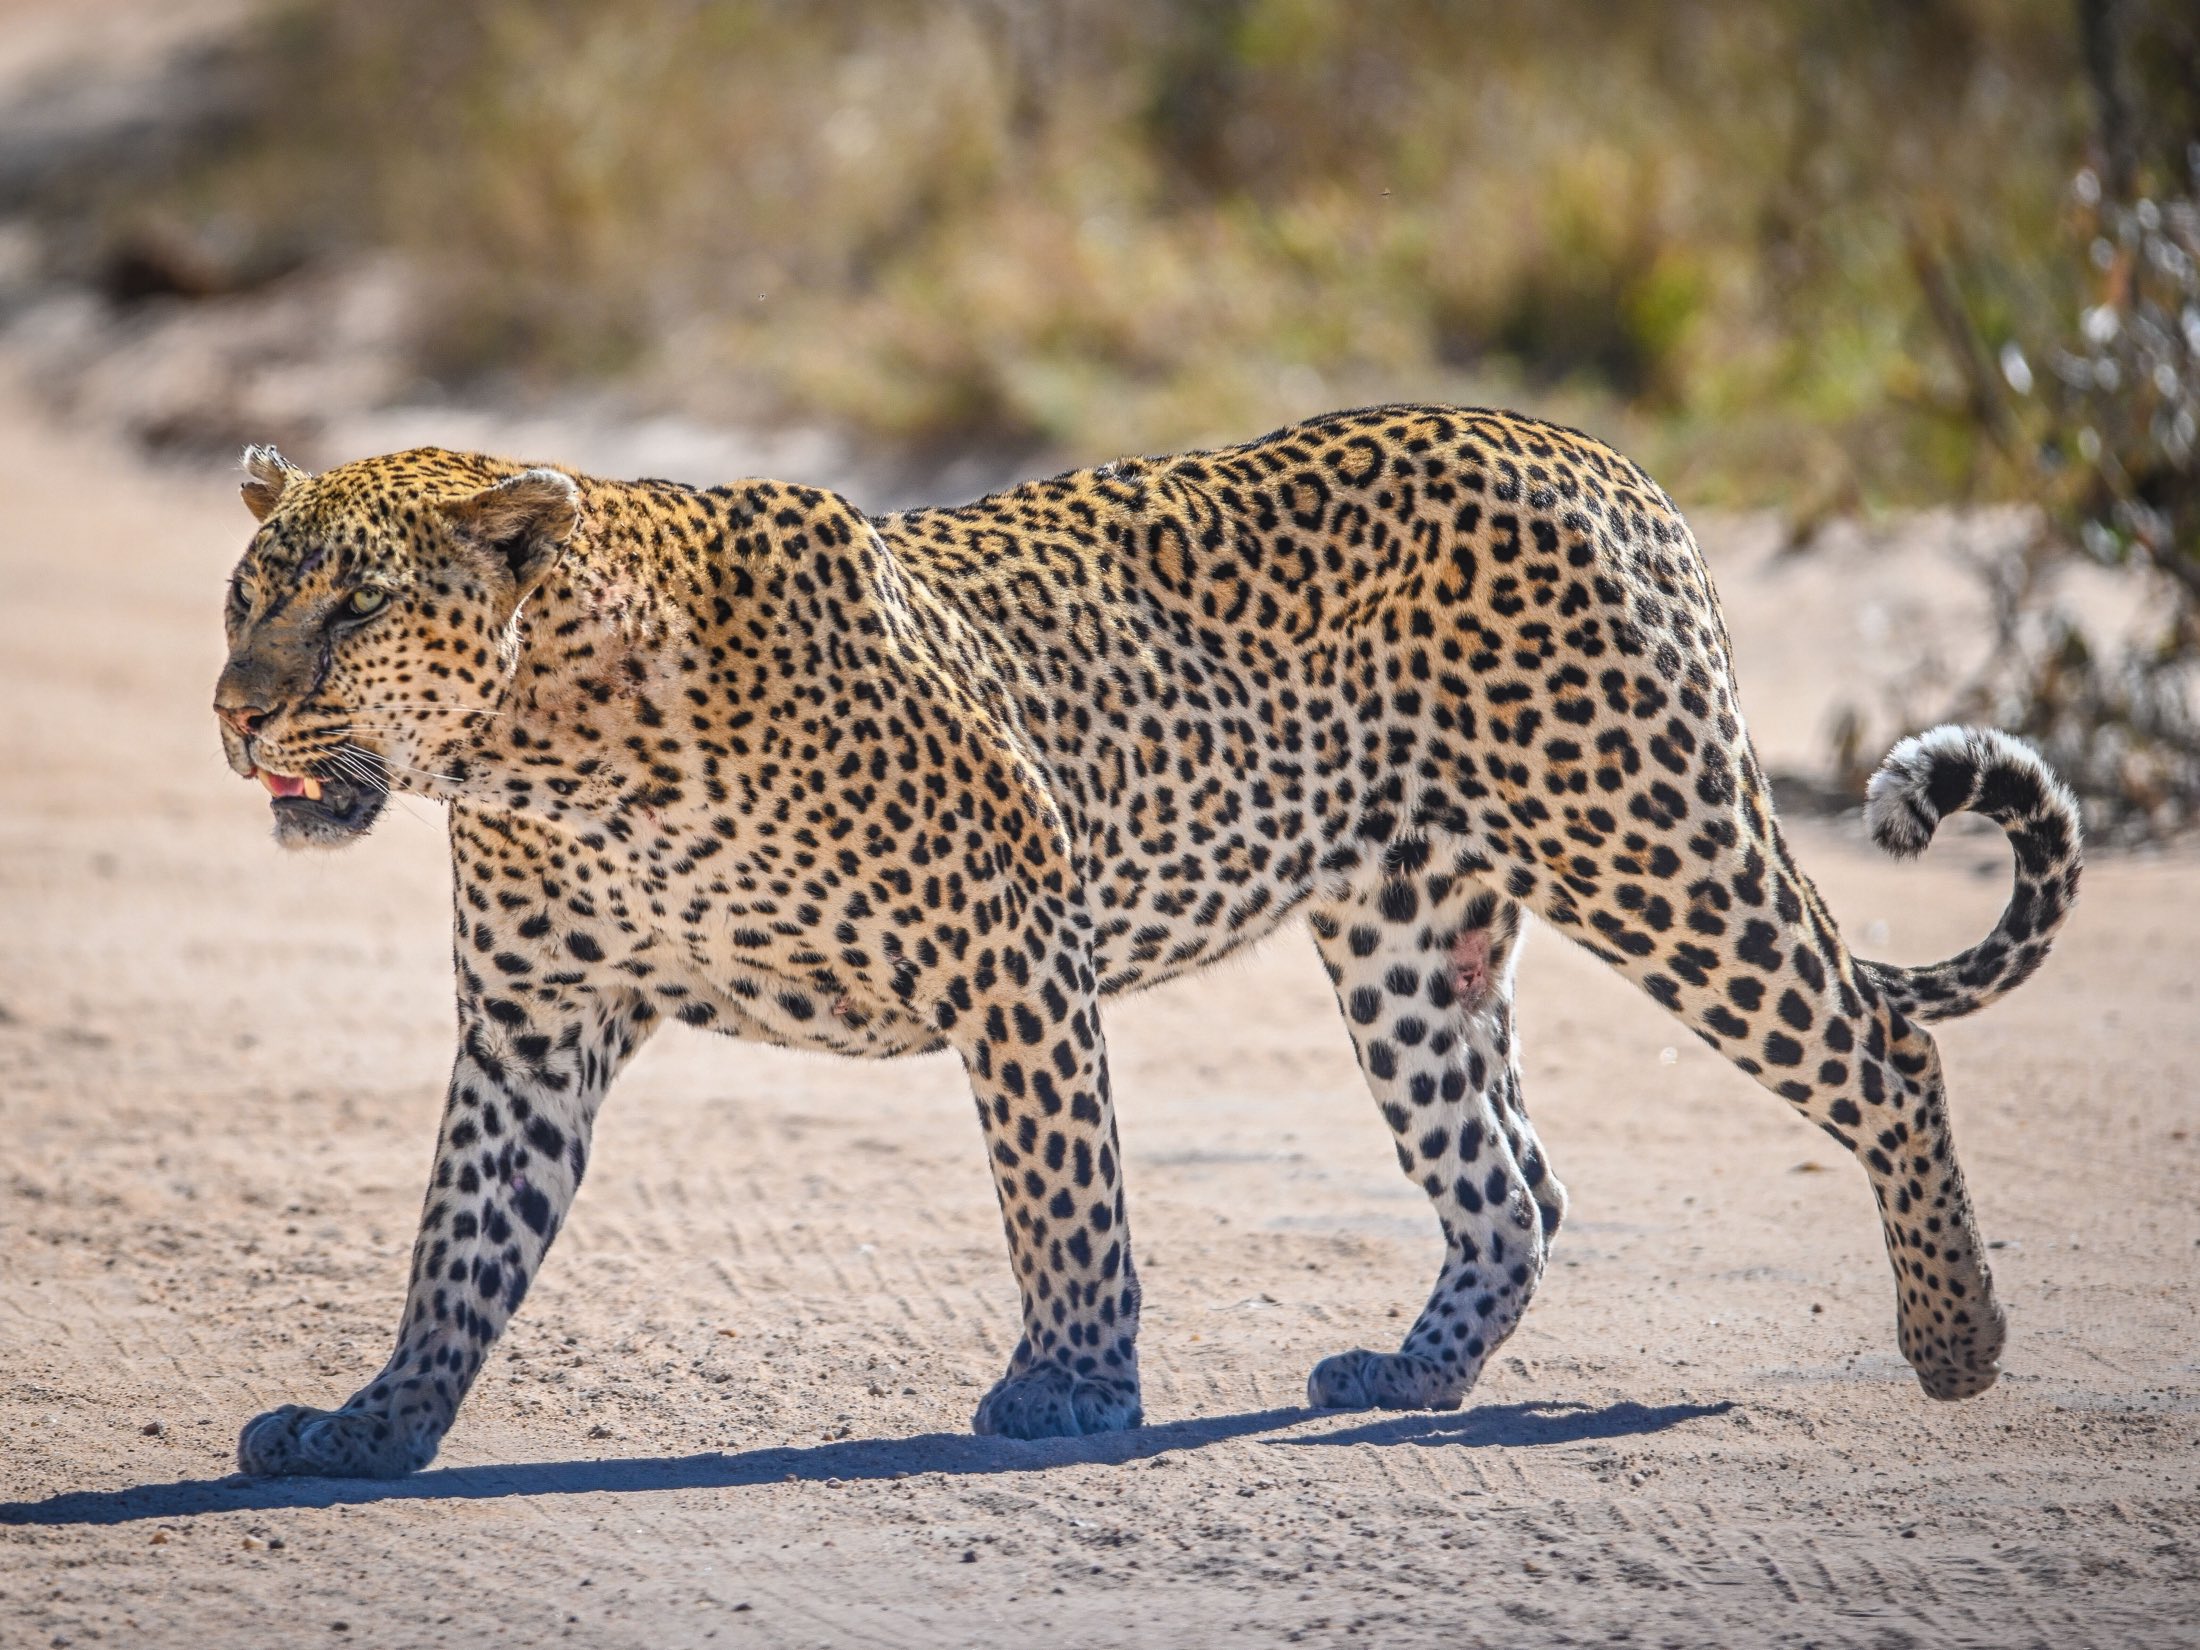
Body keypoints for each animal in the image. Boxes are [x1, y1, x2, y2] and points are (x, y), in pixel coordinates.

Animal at [211, 404, 2081, 1478]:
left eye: (353, 605)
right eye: (246, 595)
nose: (235, 711)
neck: (551, 747)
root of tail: (1599, 456)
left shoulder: (1013, 940)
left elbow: (1065, 1191)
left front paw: (1073, 1389)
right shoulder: (534, 1018)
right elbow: (461, 1237)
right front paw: (377, 1422)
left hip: (1641, 829)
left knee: (1884, 1048)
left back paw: (1957, 1339)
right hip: (1404, 941)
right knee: (1514, 1177)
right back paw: (1413, 1373)